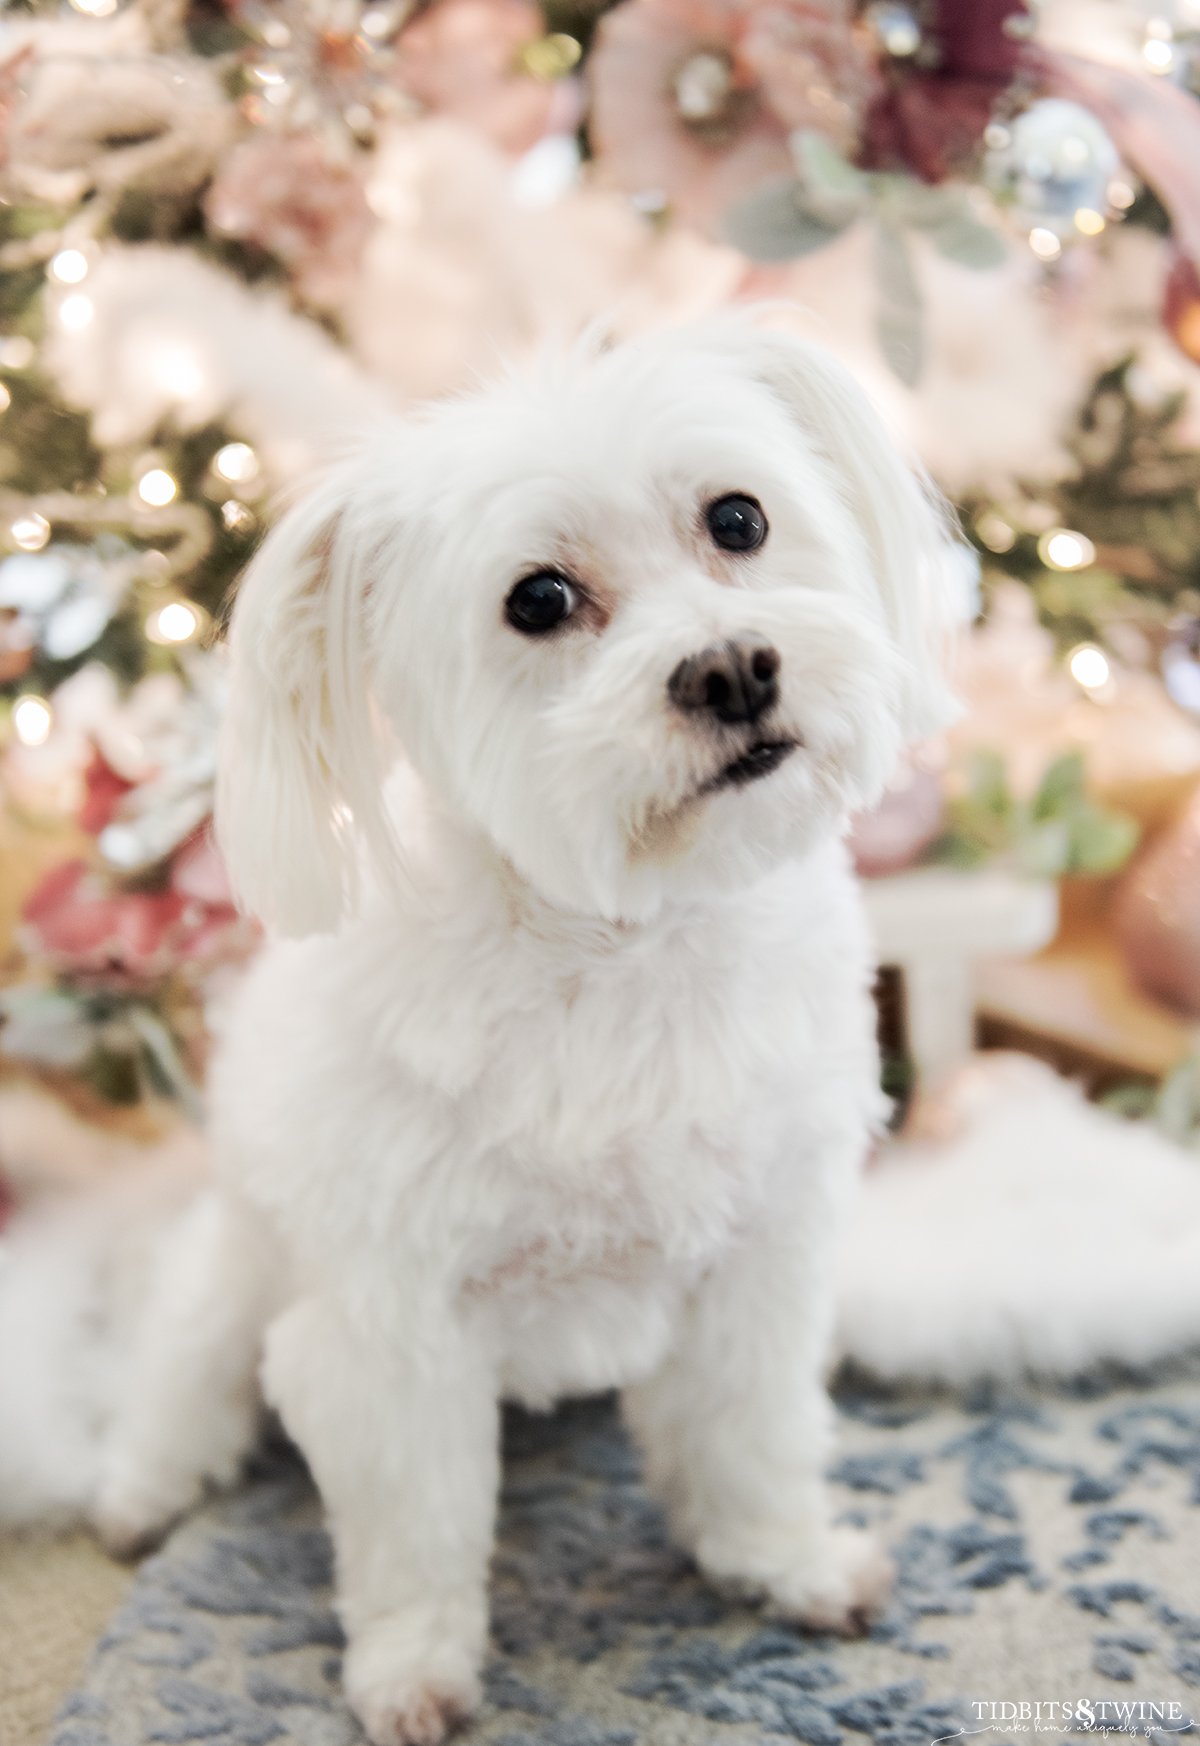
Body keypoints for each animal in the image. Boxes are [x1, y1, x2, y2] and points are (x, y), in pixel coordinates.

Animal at [79, 314, 957, 1746]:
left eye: (739, 517)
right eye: (537, 600)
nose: (732, 668)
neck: (622, 949)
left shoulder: (758, 1263)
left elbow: (750, 1433)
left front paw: (787, 1564)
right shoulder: (390, 1328)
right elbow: (417, 1525)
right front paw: (411, 1672)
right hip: (234, 1274)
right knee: (182, 1385)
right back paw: (139, 1492)